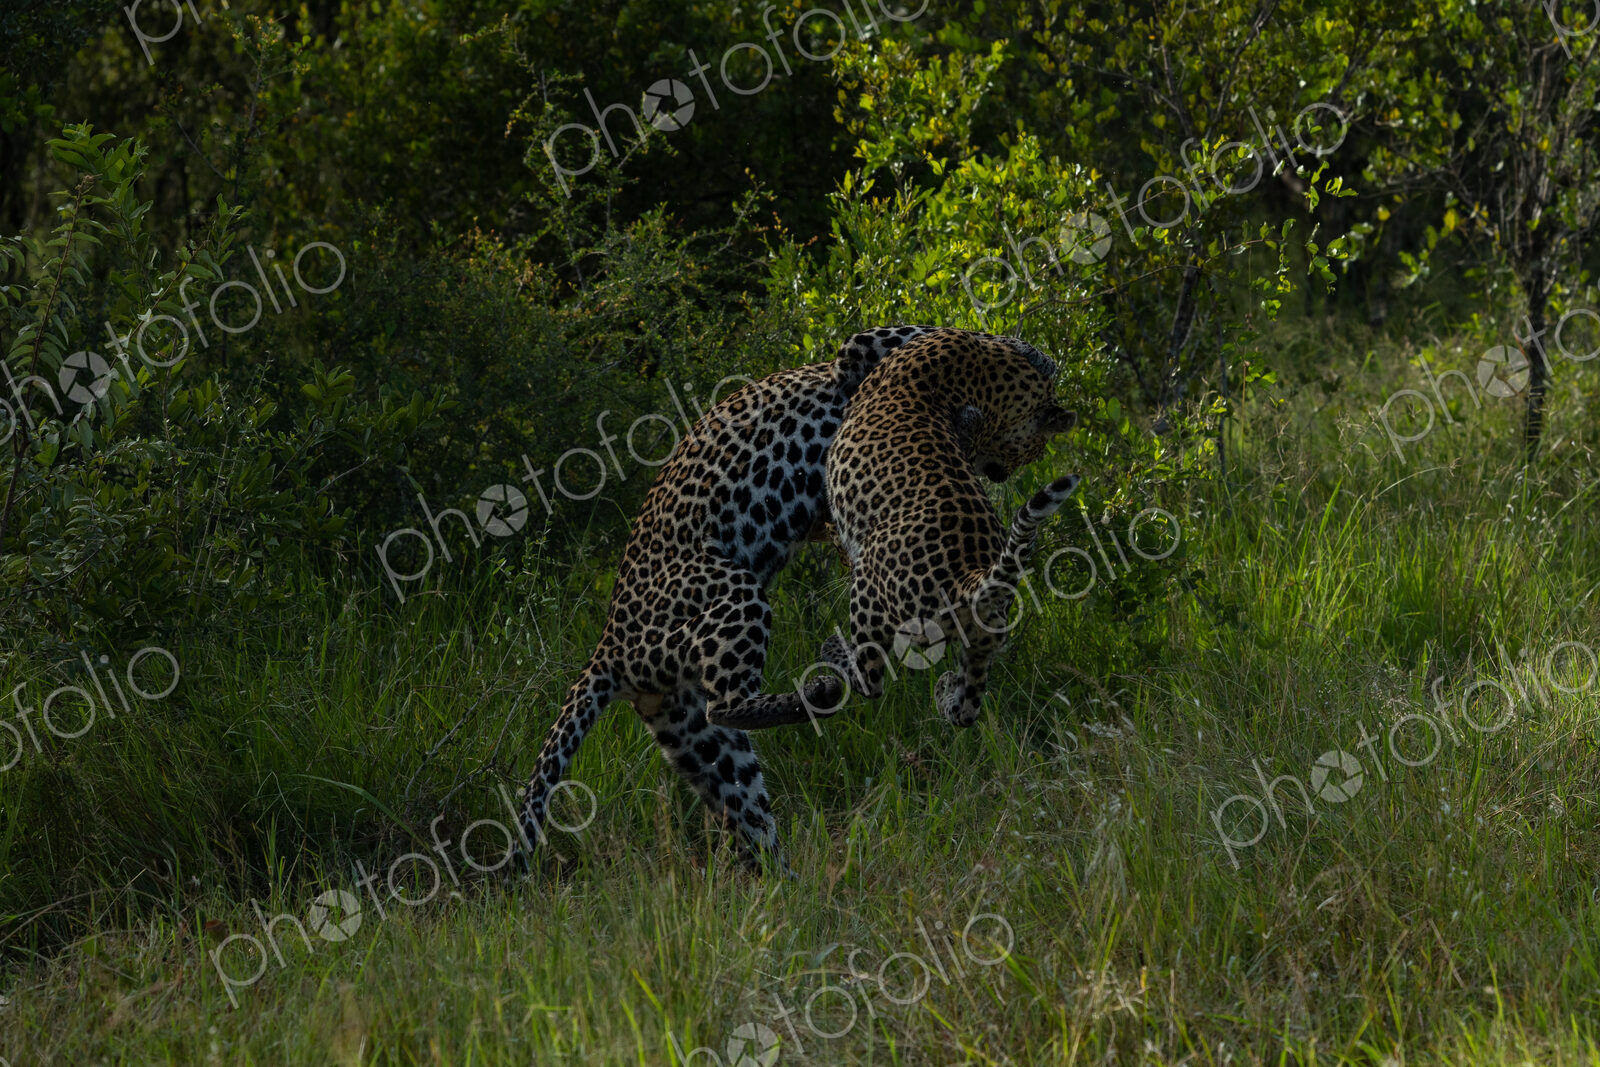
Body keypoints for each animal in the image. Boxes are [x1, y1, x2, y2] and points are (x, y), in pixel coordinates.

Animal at [516, 325, 937, 871]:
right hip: (734, 592)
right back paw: (821, 693)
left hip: (698, 739)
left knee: (747, 809)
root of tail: (608, 647)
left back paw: (787, 883)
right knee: (729, 703)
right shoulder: (865, 348)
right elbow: (915, 336)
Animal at [818, 327, 1082, 728]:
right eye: (1034, 451)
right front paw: (1040, 357)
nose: (1002, 476)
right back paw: (945, 692)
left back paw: (835, 652)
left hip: (868, 595)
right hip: (982, 639)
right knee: (968, 707)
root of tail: (968, 576)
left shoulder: (869, 343)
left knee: (871, 678)